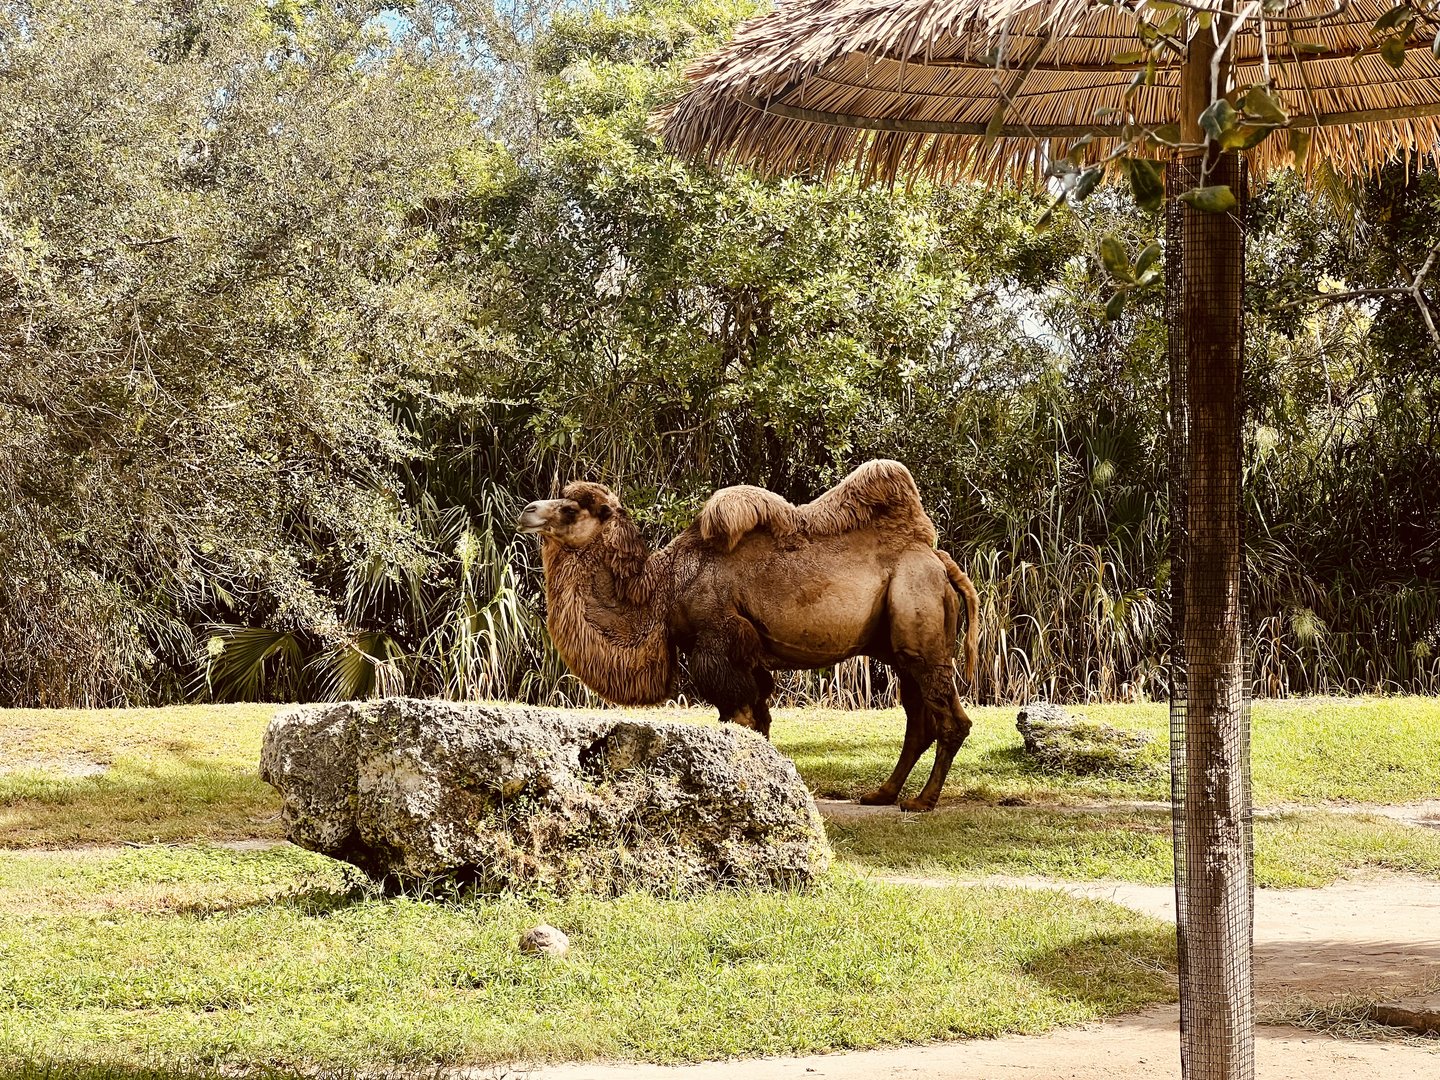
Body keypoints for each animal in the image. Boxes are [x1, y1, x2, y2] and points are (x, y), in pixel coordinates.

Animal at [517, 460, 979, 811]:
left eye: (571, 509)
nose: (527, 510)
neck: (662, 589)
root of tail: (939, 559)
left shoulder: (717, 643)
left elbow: (737, 716)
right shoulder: (748, 655)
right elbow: (759, 719)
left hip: (919, 617)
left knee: (951, 719)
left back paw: (922, 801)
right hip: (899, 643)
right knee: (918, 719)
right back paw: (882, 794)